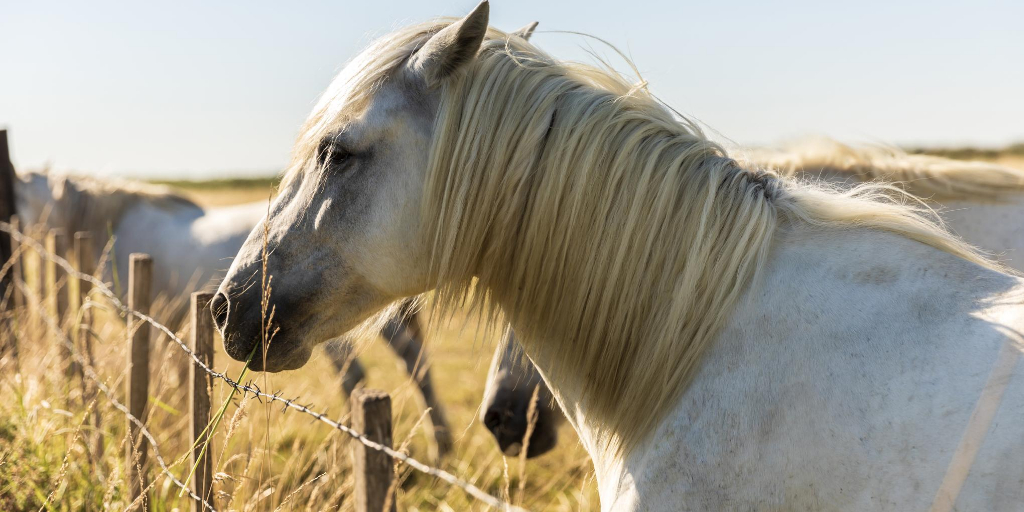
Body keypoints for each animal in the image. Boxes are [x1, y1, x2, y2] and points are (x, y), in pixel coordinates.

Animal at [12, 169, 454, 457]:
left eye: (30, 199)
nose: (16, 231)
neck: (122, 222)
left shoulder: (146, 321)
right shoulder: (176, 322)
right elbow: (180, 371)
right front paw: (182, 420)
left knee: (359, 376)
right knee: (417, 365)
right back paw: (441, 444)